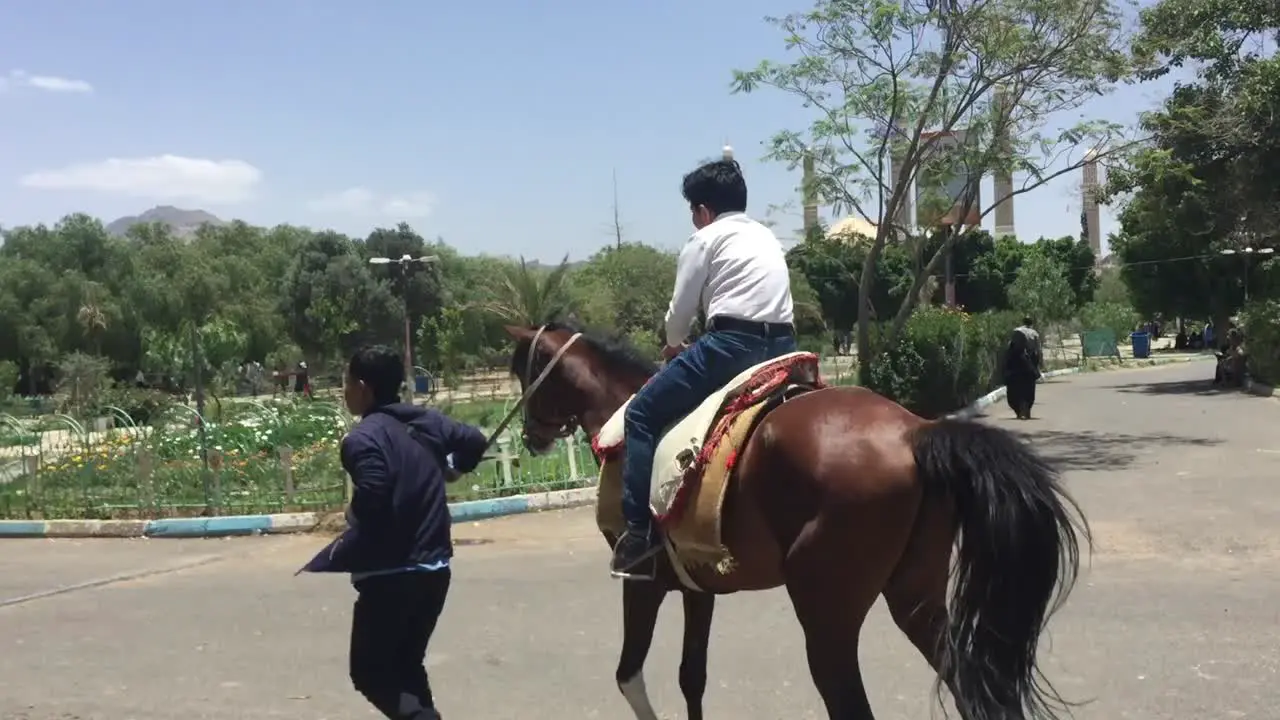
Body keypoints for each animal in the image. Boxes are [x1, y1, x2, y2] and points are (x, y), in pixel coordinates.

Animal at [504, 322, 1085, 712]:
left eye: (522, 368)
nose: (529, 436)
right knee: (965, 682)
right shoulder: (696, 586)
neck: (623, 415)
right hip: (916, 597)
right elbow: (692, 676)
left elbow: (629, 675)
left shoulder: (642, 582)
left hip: (826, 612)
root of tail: (917, 432)